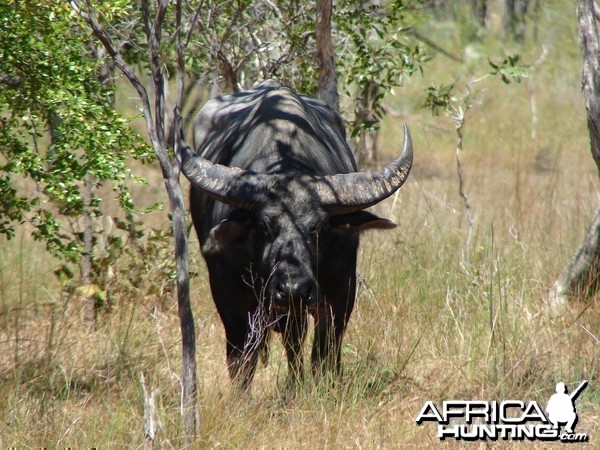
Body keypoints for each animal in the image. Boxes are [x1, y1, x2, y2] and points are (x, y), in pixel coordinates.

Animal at [176, 80, 414, 386]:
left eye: (319, 228)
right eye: (264, 225)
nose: (293, 290)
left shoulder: (341, 291)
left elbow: (325, 353)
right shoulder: (228, 295)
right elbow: (241, 361)